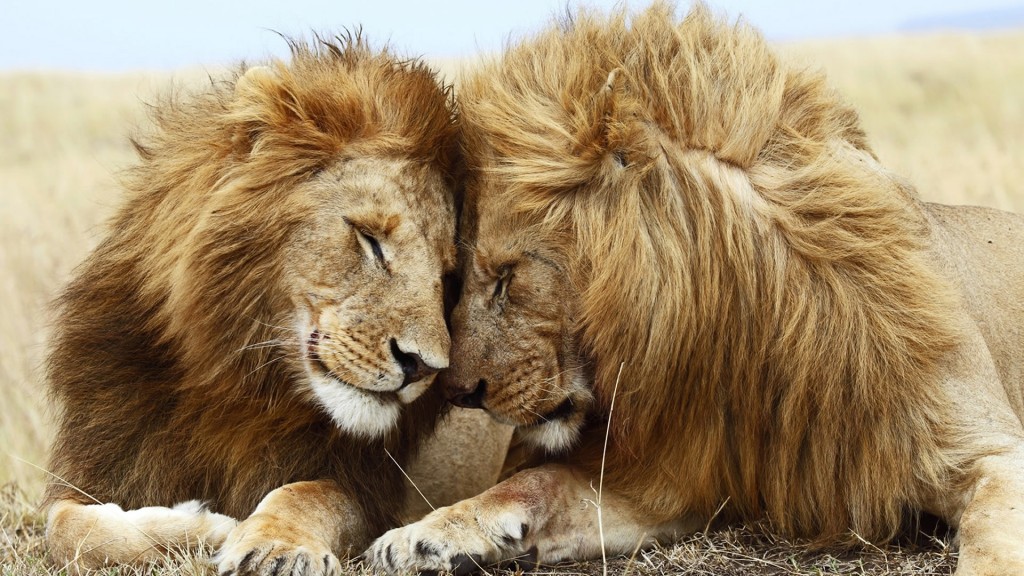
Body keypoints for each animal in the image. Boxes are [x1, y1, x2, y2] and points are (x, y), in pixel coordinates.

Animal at [42, 36, 510, 575]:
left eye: (447, 276)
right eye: (370, 239)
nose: (422, 367)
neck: (238, 380)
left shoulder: (364, 488)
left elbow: (304, 494)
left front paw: (273, 546)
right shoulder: (101, 464)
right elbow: (67, 528)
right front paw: (200, 526)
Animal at [367, 4, 1024, 575]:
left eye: (506, 275)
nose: (457, 392)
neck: (747, 321)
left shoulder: (991, 451)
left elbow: (993, 542)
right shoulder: (673, 477)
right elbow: (537, 482)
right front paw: (424, 534)